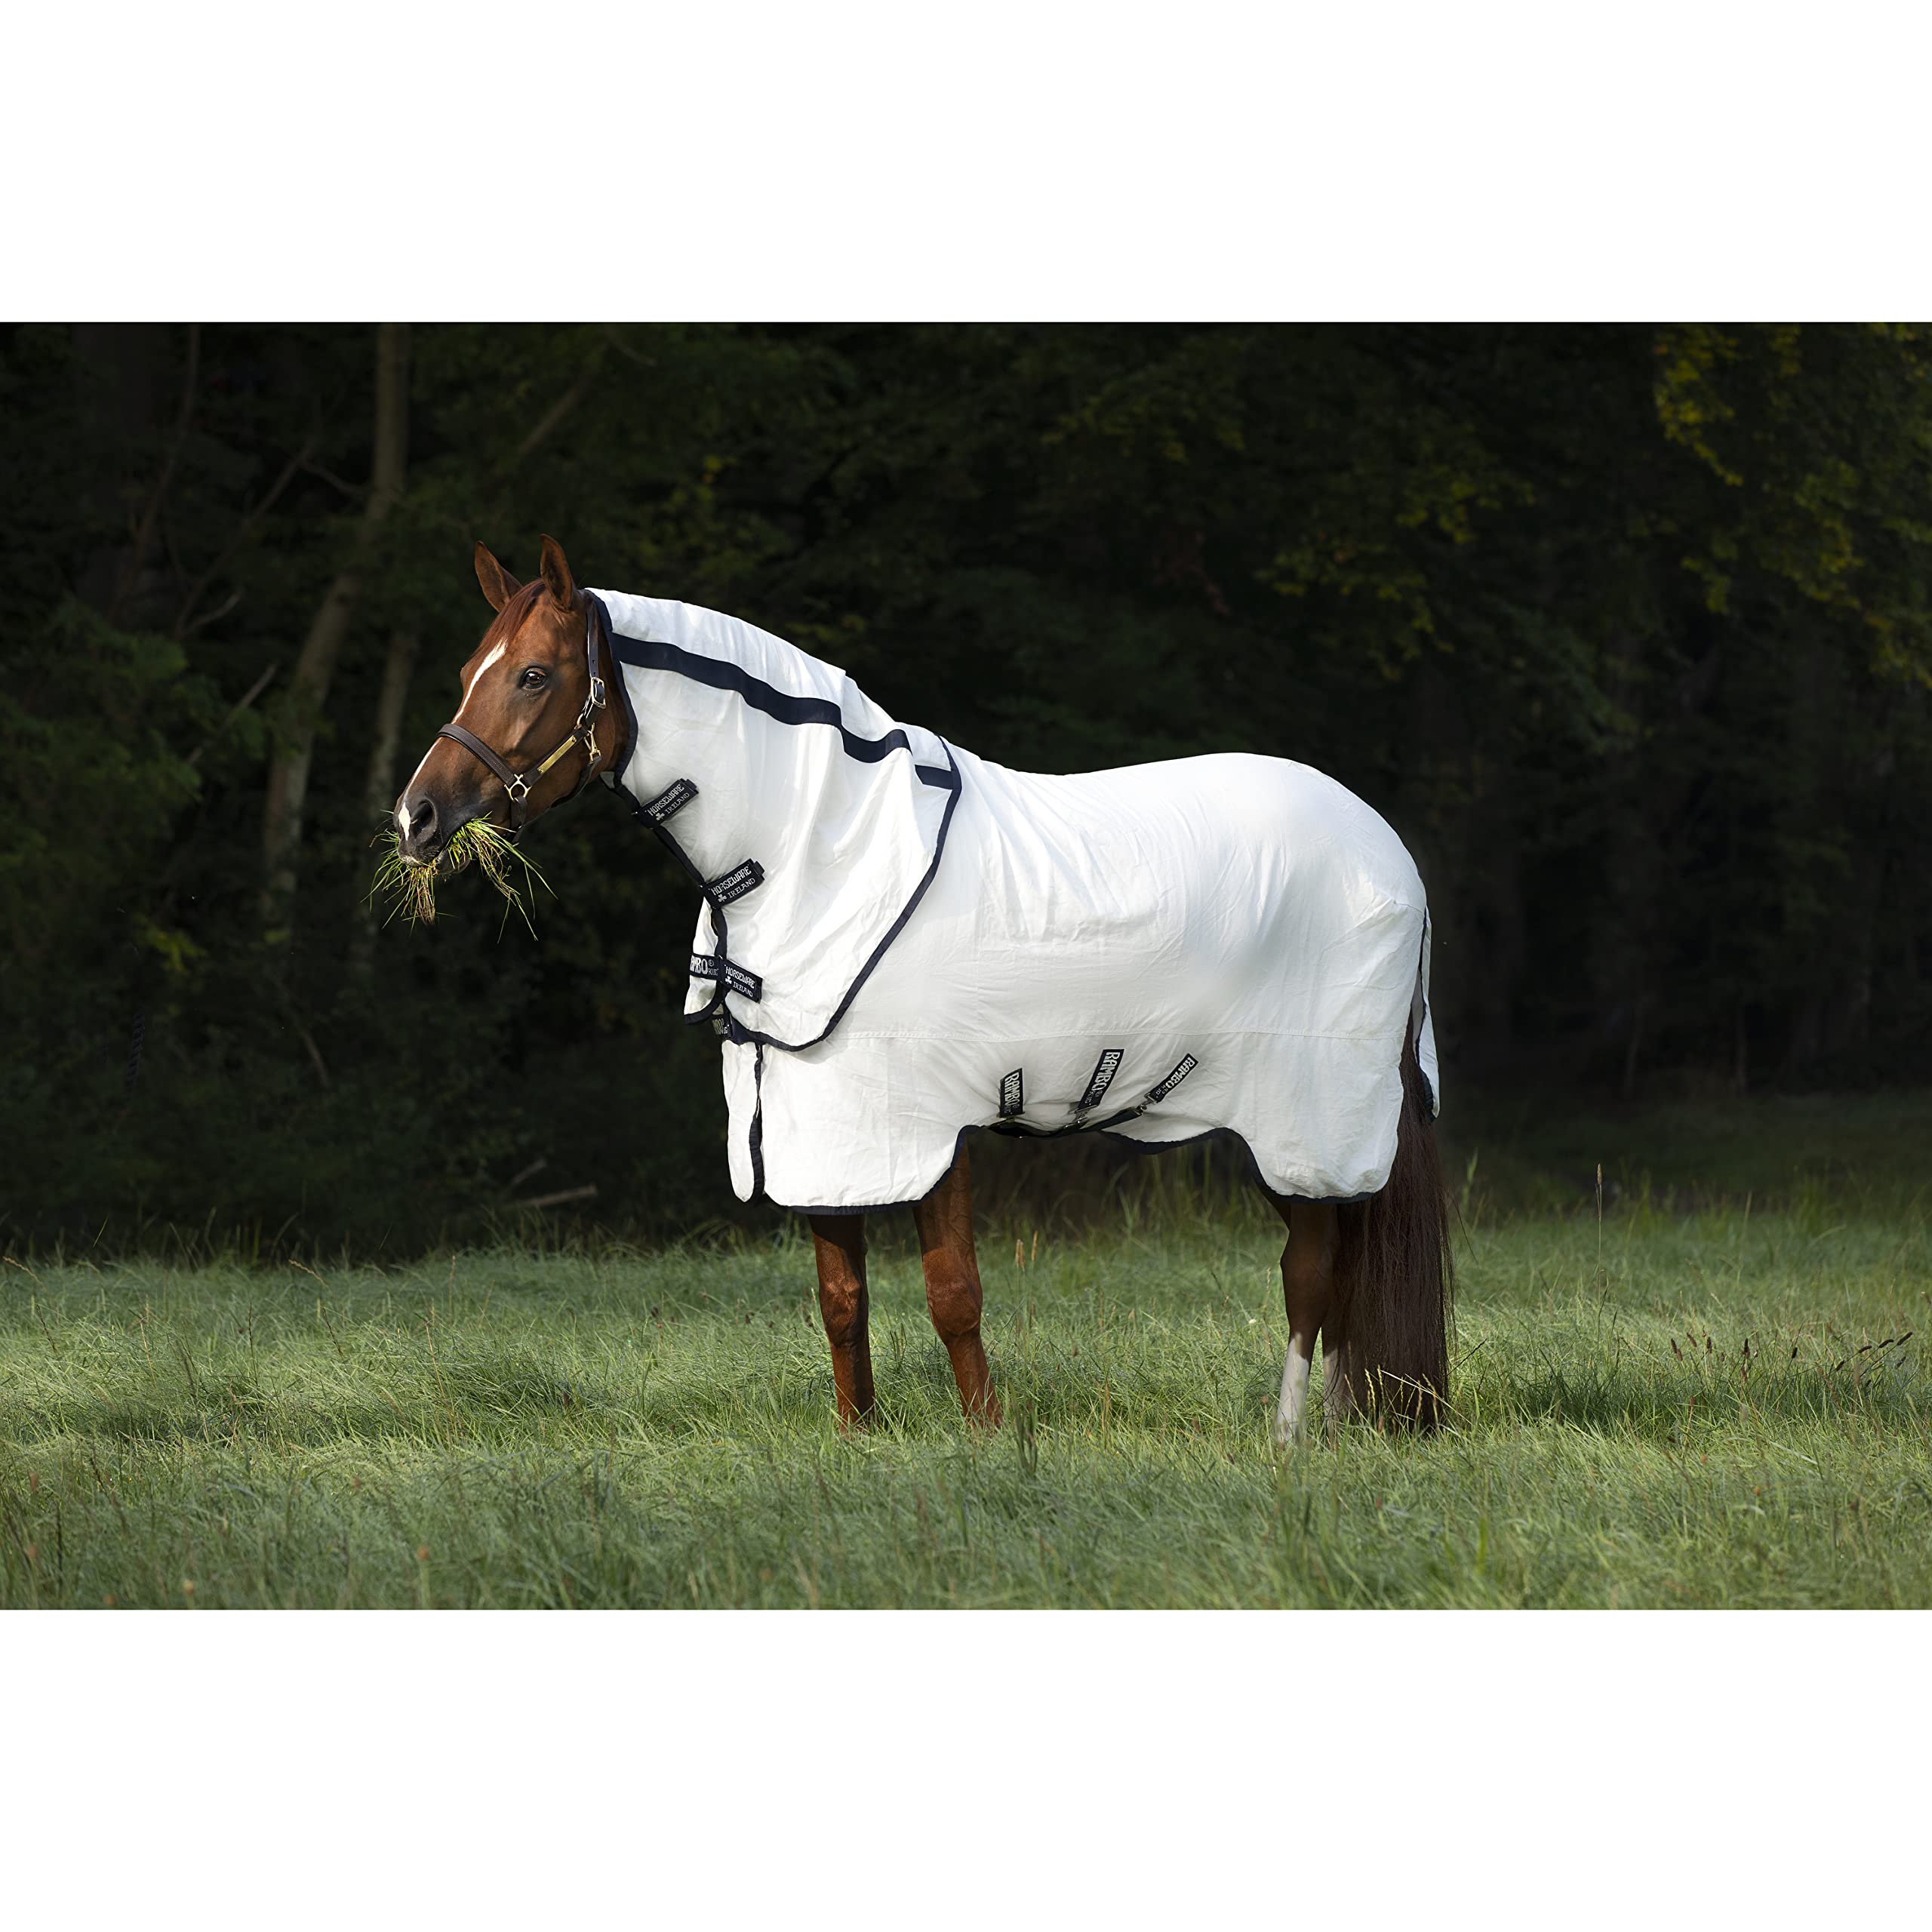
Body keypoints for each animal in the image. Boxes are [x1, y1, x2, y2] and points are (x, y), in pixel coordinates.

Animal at [395, 536, 1453, 1441]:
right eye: (469, 672)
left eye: (534, 675)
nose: (417, 816)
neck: (820, 847)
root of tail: (1389, 850)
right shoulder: (819, 1124)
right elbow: (842, 1298)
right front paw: (855, 1435)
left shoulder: (928, 1122)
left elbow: (954, 1294)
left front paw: (988, 1440)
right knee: (1333, 1269)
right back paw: (1335, 1427)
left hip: (1307, 1118)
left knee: (1310, 1273)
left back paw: (1288, 1440)